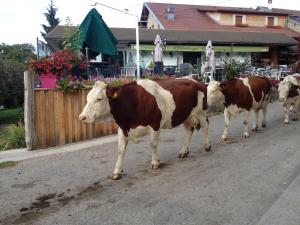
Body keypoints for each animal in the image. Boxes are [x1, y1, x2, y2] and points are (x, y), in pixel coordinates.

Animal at [79, 78, 211, 180]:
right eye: (87, 98)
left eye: (99, 98)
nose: (82, 117)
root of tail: (197, 80)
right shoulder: (122, 129)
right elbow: (120, 150)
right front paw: (117, 171)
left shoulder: (155, 124)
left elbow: (153, 144)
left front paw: (155, 163)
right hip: (186, 115)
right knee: (189, 130)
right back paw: (184, 152)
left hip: (201, 112)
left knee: (205, 126)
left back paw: (207, 146)